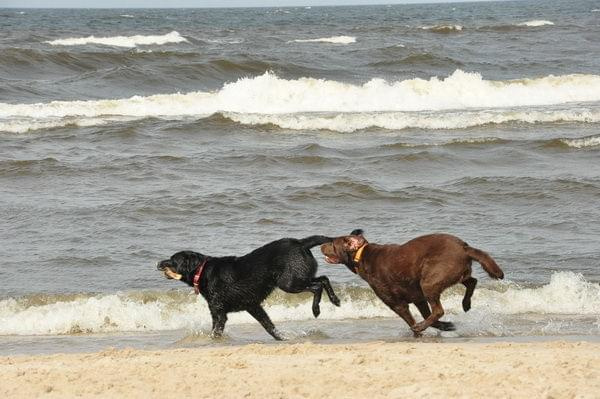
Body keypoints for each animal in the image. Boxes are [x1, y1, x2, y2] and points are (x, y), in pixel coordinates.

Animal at [157, 236, 340, 342]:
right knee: (324, 278)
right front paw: (283, 338)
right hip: (299, 277)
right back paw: (335, 300)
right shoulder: (253, 306)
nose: (158, 263)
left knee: (317, 286)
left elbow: (215, 332)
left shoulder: (219, 313)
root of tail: (300, 243)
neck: (202, 271)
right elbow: (269, 326)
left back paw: (316, 309)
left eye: (173, 260)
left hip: (289, 283)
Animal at [322, 230, 504, 336]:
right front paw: (446, 326)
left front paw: (418, 332)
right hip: (453, 275)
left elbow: (412, 319)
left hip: (430, 281)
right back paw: (466, 304)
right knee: (472, 281)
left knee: (439, 310)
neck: (361, 256)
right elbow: (426, 315)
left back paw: (420, 327)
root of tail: (464, 247)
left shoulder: (396, 303)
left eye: (332, 243)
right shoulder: (419, 298)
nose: (321, 244)